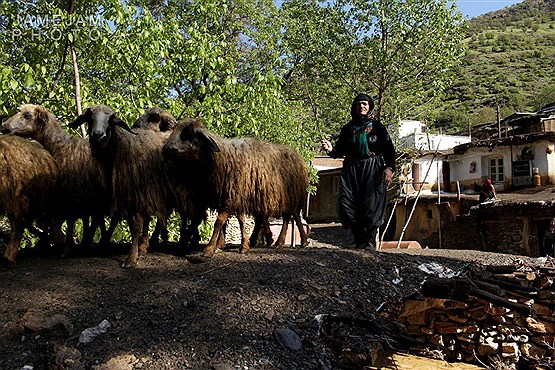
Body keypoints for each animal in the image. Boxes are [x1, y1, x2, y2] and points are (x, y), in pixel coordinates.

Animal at [71, 105, 172, 268]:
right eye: (89, 118)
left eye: (111, 120)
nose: (98, 135)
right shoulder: (124, 196)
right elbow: (131, 224)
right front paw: (136, 250)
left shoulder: (136, 194)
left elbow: (136, 225)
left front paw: (131, 258)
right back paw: (145, 244)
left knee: (161, 215)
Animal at [162, 119, 308, 258]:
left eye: (189, 133)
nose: (166, 148)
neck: (221, 159)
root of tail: (297, 155)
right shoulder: (225, 197)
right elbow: (224, 221)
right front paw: (221, 245)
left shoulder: (232, 197)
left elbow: (219, 222)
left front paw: (210, 248)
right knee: (274, 218)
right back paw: (263, 240)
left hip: (291, 195)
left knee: (292, 216)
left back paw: (293, 241)